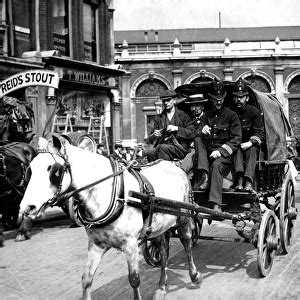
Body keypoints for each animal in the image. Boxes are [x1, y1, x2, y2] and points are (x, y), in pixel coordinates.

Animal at [18, 137, 202, 300]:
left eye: (54, 170)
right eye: (30, 170)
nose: (27, 208)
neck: (112, 194)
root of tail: (175, 166)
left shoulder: (130, 244)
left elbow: (134, 280)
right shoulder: (96, 245)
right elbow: (86, 280)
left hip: (183, 216)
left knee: (187, 242)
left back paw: (194, 275)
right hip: (159, 225)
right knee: (163, 251)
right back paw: (162, 286)